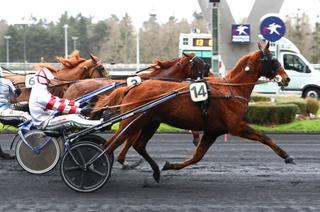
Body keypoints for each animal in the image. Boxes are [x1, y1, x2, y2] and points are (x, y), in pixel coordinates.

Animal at [96, 42, 294, 181]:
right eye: (274, 60)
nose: (286, 78)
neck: (231, 89)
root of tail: (132, 87)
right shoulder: (237, 127)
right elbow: (265, 137)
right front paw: (287, 156)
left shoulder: (213, 131)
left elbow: (197, 157)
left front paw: (170, 165)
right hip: (134, 120)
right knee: (114, 143)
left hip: (150, 122)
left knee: (138, 144)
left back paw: (155, 171)